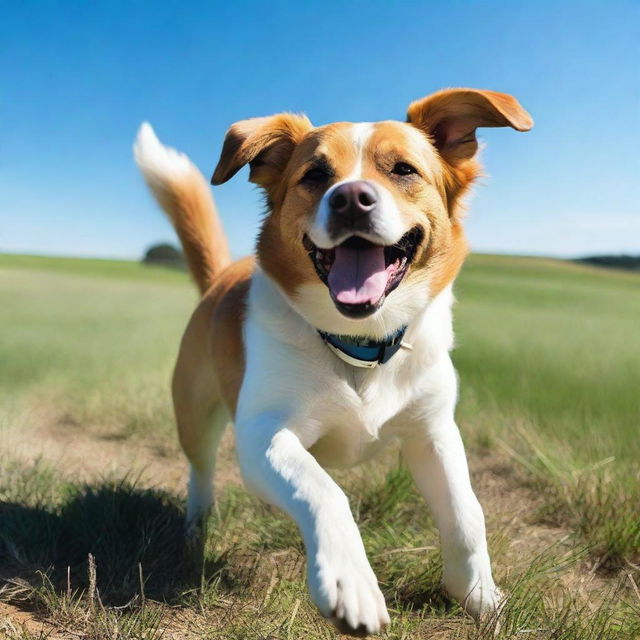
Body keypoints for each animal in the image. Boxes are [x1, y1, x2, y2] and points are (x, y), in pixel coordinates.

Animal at [132, 87, 532, 632]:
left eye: (403, 169)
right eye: (315, 175)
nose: (350, 198)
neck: (359, 346)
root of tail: (220, 275)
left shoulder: (434, 431)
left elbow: (468, 515)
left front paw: (479, 597)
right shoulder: (263, 436)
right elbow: (324, 491)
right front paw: (351, 582)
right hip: (194, 413)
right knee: (201, 469)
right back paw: (197, 525)